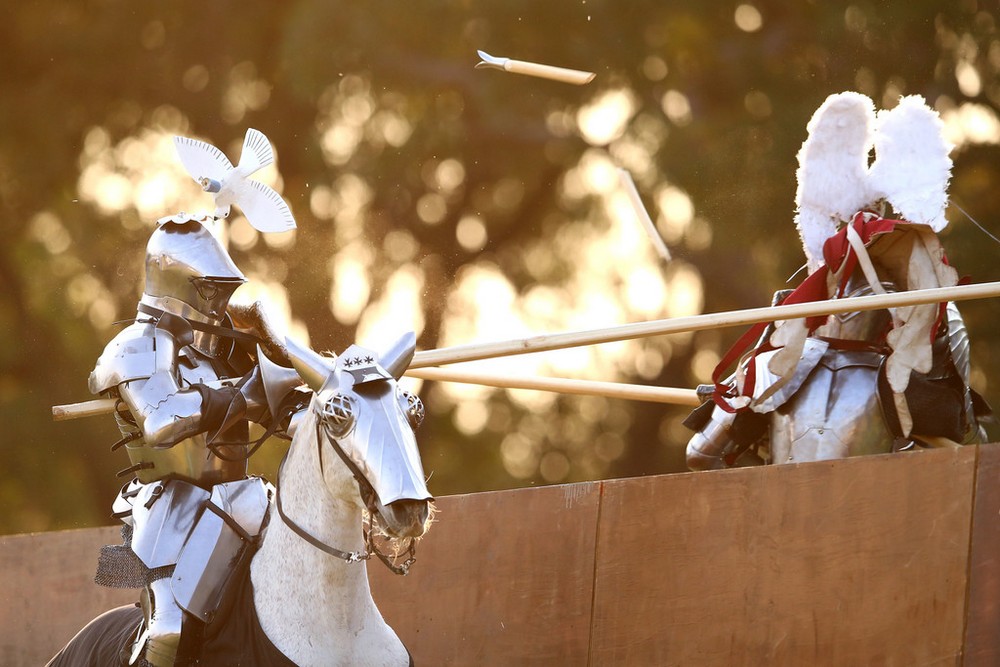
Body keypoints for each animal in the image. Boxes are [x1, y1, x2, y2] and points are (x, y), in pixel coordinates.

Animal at [49, 334, 434, 667]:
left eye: (413, 410)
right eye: (336, 416)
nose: (410, 510)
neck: (340, 628)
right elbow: (161, 419)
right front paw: (253, 384)